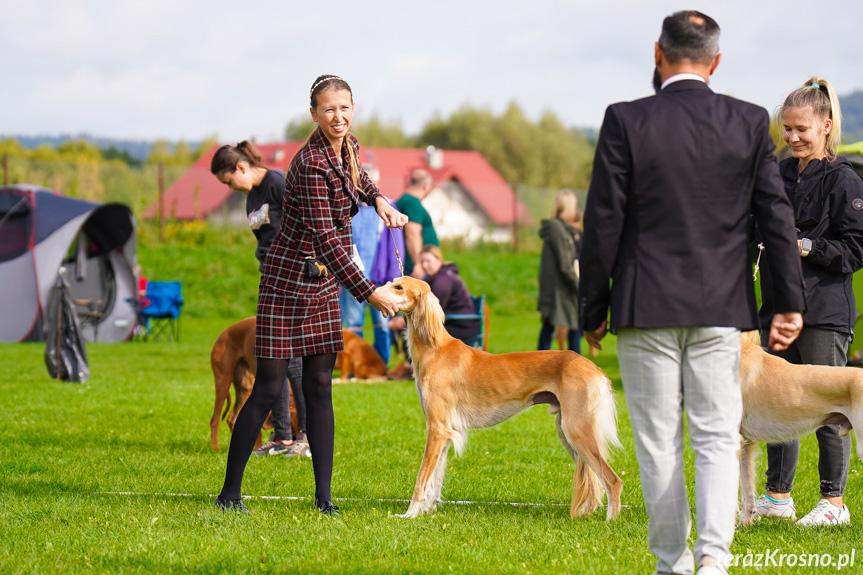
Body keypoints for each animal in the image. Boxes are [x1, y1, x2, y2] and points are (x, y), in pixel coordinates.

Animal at [211, 318, 298, 452]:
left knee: (233, 419)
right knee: (215, 420)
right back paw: (215, 448)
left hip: (245, 386)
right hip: (223, 380)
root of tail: (225, 332)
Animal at [390, 278, 620, 520]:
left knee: (613, 480)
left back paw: (610, 521)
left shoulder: (436, 428)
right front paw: (427, 510)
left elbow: (422, 477)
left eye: (399, 287)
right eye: (394, 283)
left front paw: (409, 514)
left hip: (576, 430)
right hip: (566, 431)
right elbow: (434, 479)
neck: (435, 349)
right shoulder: (444, 429)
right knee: (594, 481)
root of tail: (595, 368)